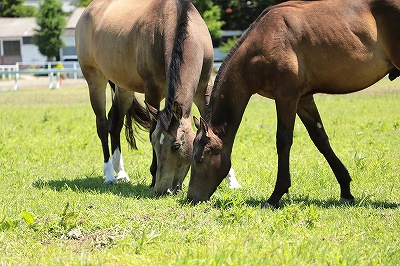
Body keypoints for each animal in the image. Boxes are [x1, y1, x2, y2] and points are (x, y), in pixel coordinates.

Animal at [74, 0, 241, 192]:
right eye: (154, 143)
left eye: (176, 145)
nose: (164, 189)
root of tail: (89, 10)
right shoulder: (152, 92)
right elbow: (152, 129)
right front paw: (153, 177)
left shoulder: (203, 90)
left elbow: (212, 130)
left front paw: (231, 180)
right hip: (95, 79)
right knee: (102, 125)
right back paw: (109, 175)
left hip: (123, 88)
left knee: (115, 123)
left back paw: (121, 173)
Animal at [188, 0, 400, 208]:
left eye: (199, 159)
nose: (191, 198)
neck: (263, 41)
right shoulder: (303, 100)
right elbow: (320, 139)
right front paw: (346, 190)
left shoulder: (286, 96)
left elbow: (283, 140)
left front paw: (275, 195)